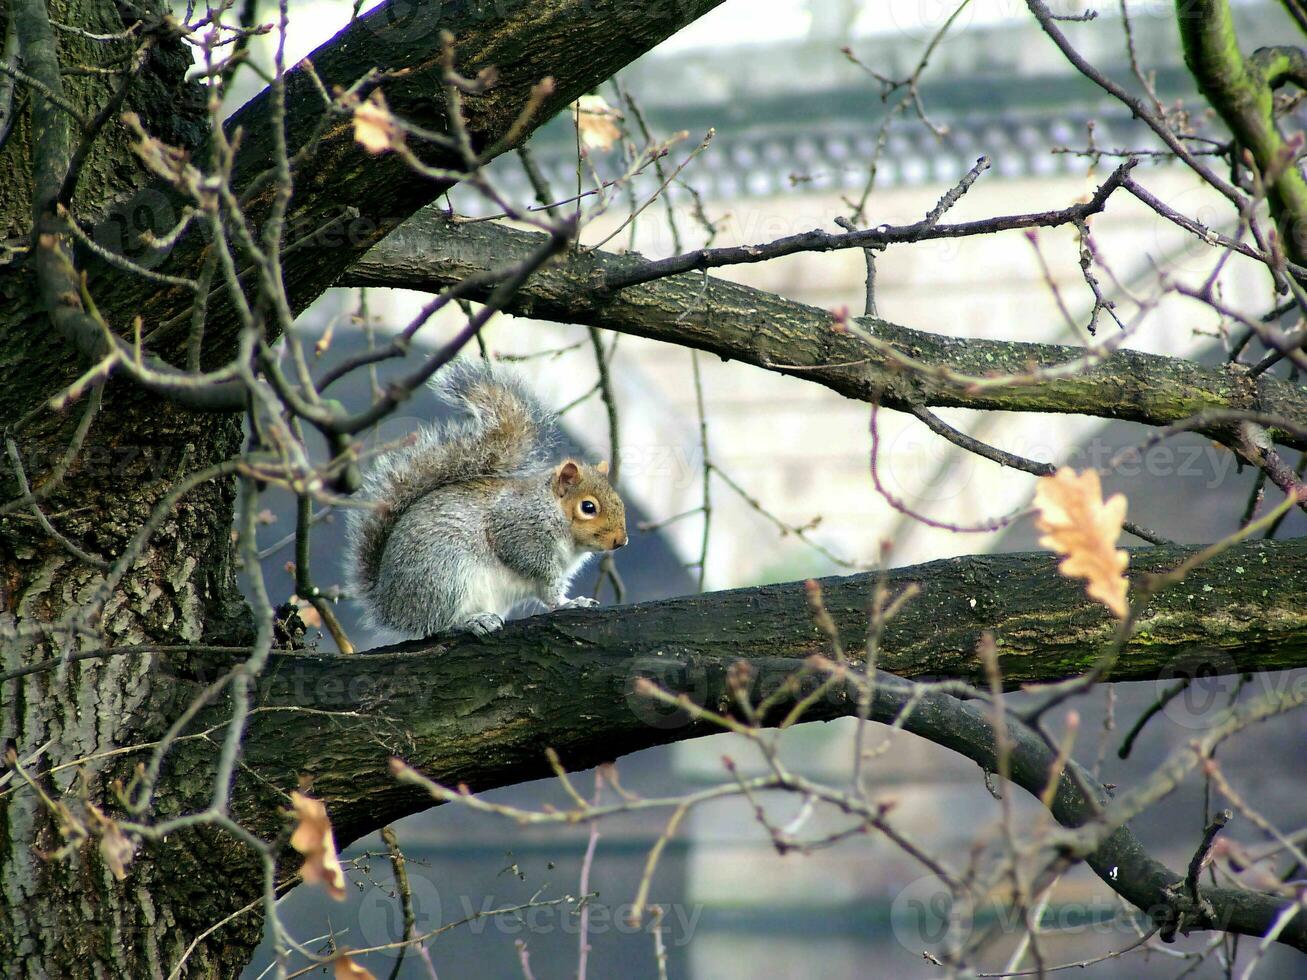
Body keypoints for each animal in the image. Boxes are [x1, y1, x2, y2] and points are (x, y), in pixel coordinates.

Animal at [345, 358, 629, 640]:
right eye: (588, 507)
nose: (621, 541)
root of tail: (389, 605)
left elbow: (549, 592)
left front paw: (572, 602)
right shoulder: (519, 531)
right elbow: (540, 576)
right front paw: (568, 603)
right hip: (445, 576)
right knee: (437, 624)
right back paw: (471, 621)